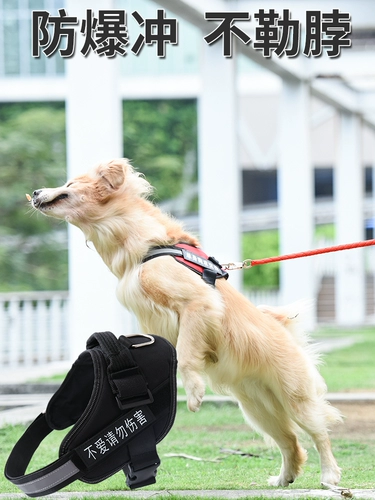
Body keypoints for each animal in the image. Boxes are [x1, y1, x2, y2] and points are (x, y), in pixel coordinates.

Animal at [31, 159, 344, 488]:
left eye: (69, 184)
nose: (35, 192)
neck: (141, 246)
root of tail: (285, 331)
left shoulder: (197, 303)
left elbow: (186, 354)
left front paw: (193, 392)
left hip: (295, 399)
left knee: (319, 432)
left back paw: (329, 475)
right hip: (257, 409)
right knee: (290, 442)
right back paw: (283, 478)